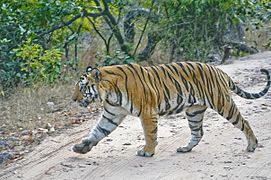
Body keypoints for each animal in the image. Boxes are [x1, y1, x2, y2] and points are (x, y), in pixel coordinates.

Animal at [71, 62, 270, 158]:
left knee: (244, 122)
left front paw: (147, 151)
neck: (109, 92)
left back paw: (252, 145)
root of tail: (220, 70)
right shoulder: (112, 114)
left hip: (223, 103)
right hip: (194, 111)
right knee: (198, 132)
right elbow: (98, 131)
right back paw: (185, 149)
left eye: (82, 88)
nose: (73, 99)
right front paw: (81, 147)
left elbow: (150, 134)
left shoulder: (147, 112)